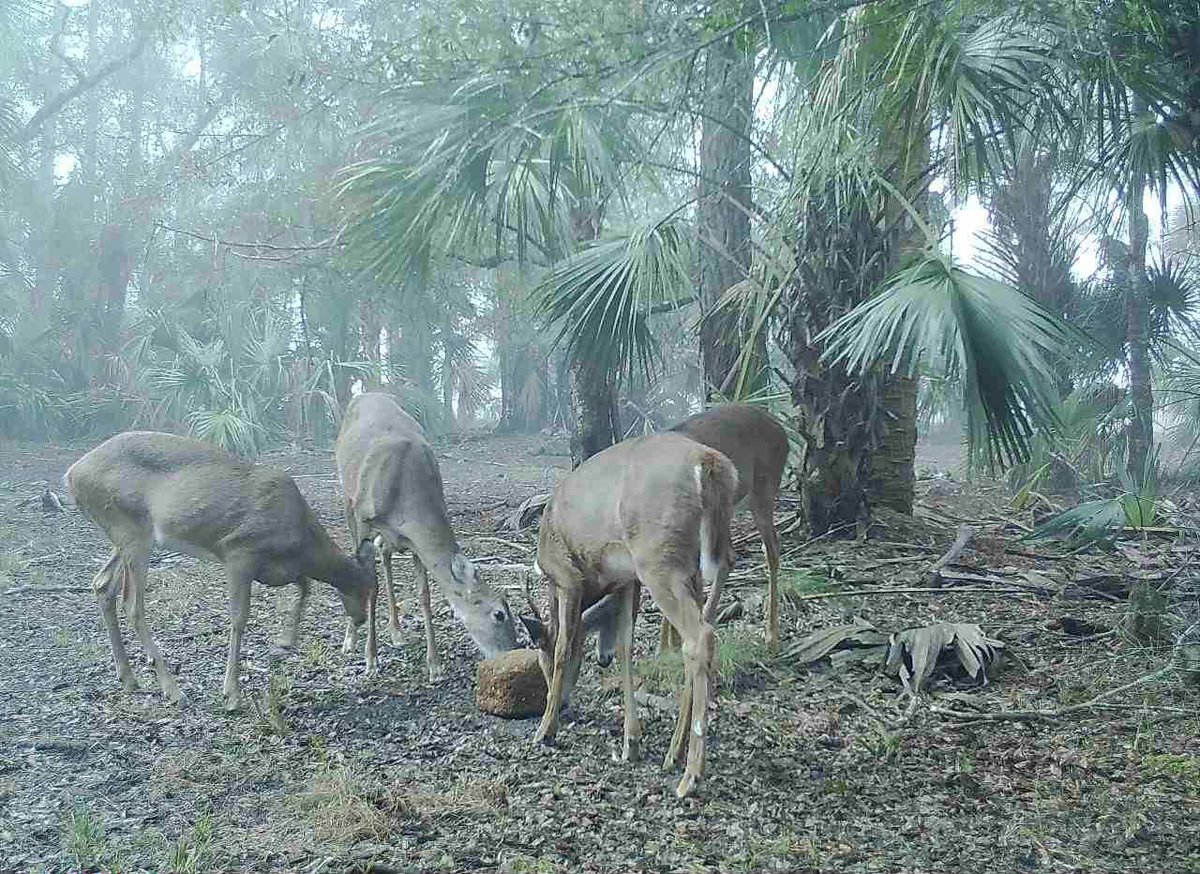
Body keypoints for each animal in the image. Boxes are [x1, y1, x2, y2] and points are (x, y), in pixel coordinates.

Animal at [65, 431, 375, 711]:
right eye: (368, 587)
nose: (360, 618)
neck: (302, 541)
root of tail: (72, 474)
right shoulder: (238, 552)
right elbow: (239, 618)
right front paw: (232, 694)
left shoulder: (280, 570)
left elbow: (304, 586)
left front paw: (285, 642)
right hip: (131, 530)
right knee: (131, 604)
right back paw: (173, 691)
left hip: (123, 536)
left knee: (102, 584)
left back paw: (129, 679)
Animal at [334, 392, 519, 678]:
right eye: (499, 614)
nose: (512, 651)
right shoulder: (365, 518)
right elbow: (371, 585)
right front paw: (371, 659)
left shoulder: (413, 540)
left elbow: (425, 595)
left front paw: (435, 665)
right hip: (348, 498)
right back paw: (350, 639)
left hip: (390, 536)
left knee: (385, 552)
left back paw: (397, 632)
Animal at [520, 432, 737, 798]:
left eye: (541, 660)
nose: (561, 703)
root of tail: (707, 463)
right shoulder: (626, 582)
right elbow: (624, 649)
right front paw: (630, 742)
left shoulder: (567, 577)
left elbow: (564, 645)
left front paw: (545, 729)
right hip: (695, 563)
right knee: (704, 623)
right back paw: (673, 754)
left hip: (658, 559)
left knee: (700, 637)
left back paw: (691, 776)